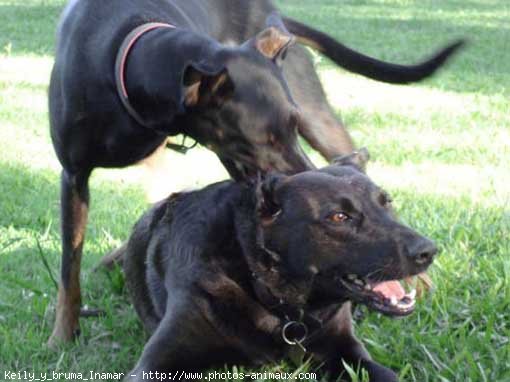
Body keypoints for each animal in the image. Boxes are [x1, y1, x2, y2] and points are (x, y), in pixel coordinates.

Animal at [49, 0, 460, 344]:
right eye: (262, 138)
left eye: (291, 125)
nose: (306, 180)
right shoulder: (74, 176)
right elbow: (70, 268)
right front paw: (63, 337)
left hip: (316, 119)